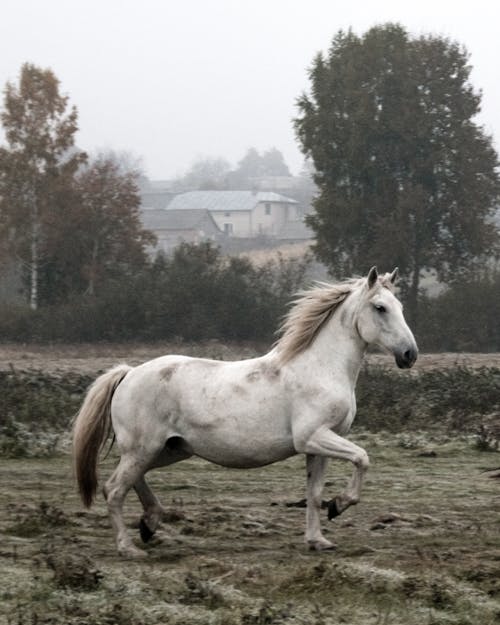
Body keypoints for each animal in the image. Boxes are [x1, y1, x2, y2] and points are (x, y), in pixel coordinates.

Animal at [74, 266, 418, 556]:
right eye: (380, 308)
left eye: (400, 307)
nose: (409, 354)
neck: (320, 368)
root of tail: (129, 373)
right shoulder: (313, 437)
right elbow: (362, 458)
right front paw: (340, 505)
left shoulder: (318, 446)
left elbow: (315, 492)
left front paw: (318, 540)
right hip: (144, 448)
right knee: (114, 489)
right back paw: (128, 547)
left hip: (169, 449)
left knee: (133, 479)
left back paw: (150, 523)